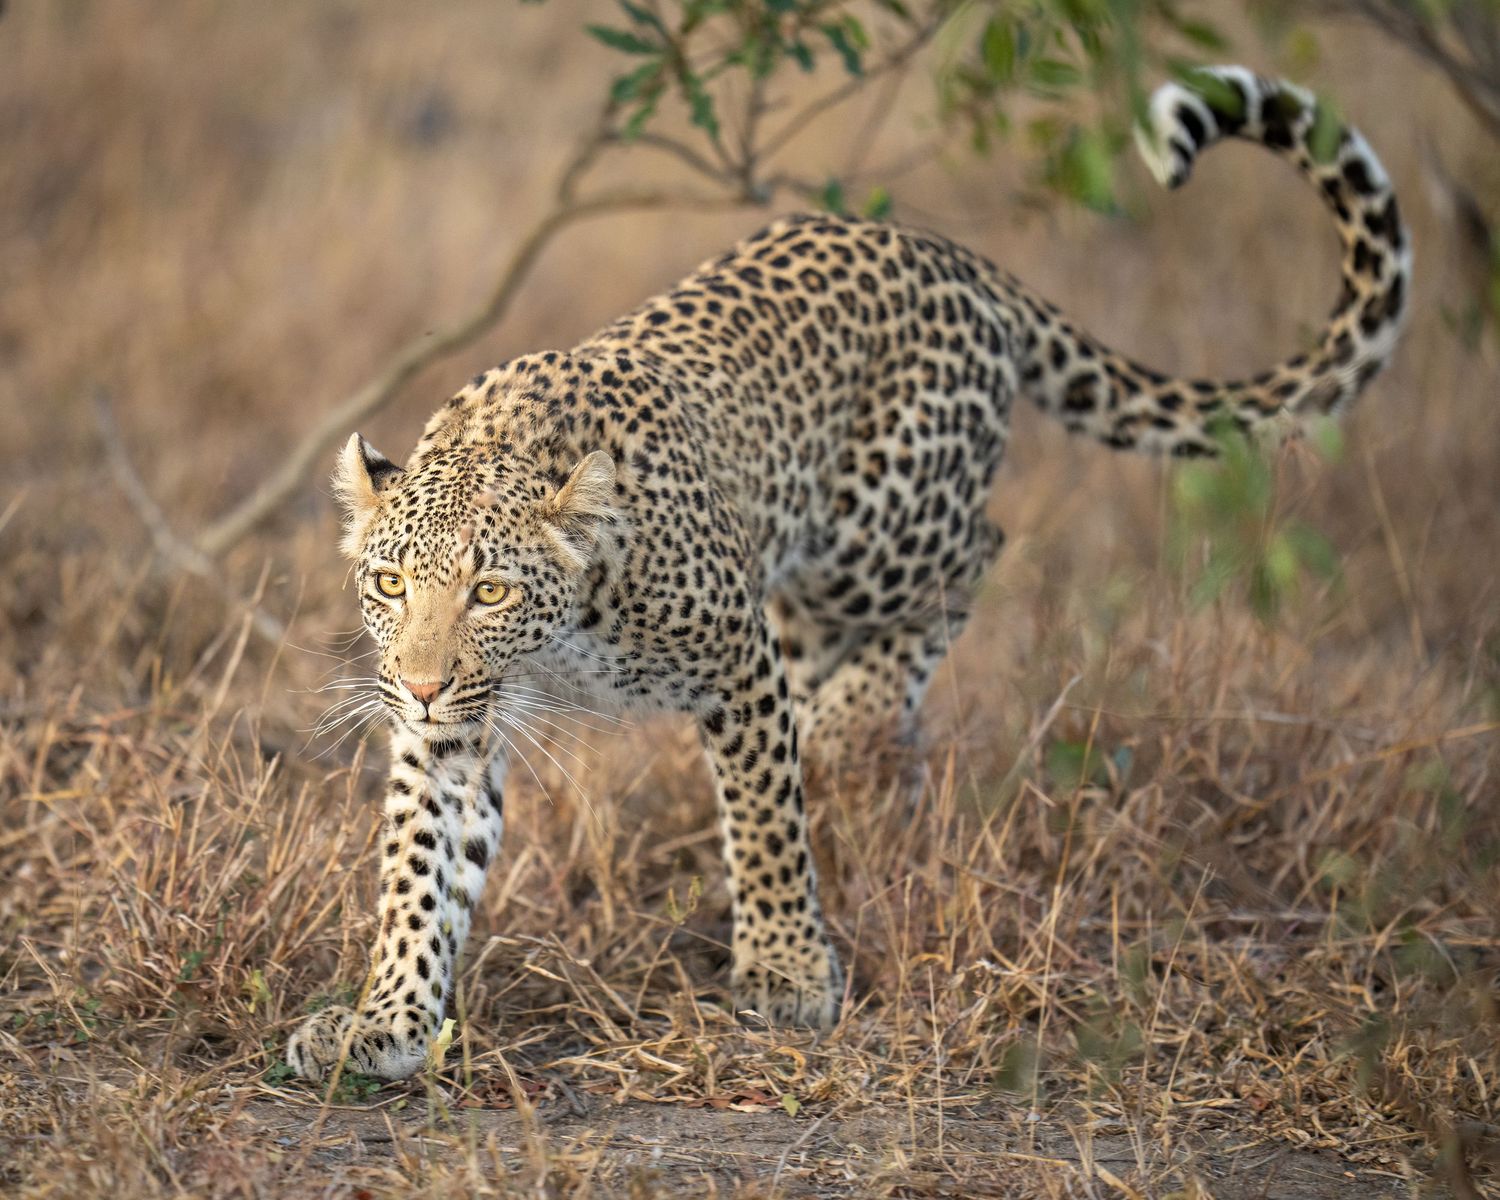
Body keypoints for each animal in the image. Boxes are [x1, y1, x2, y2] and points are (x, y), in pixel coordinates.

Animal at [286, 67, 1409, 1082]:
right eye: (389, 586)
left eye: (492, 591)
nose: (420, 682)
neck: (564, 641)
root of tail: (953, 255)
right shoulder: (455, 731)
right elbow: (419, 871)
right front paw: (385, 1020)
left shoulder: (735, 657)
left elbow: (766, 822)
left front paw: (787, 972)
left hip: (878, 531)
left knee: (976, 556)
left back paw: (845, 721)